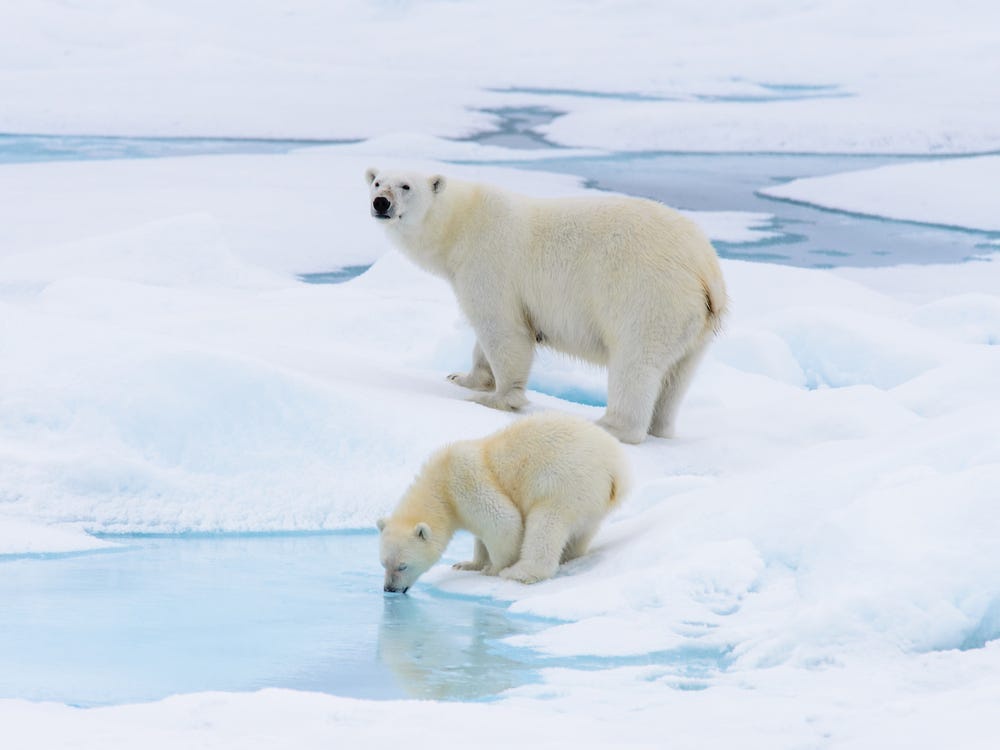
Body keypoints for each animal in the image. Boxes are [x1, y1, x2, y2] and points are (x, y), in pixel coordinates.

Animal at [368, 167, 728, 444]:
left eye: (406, 185)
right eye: (376, 181)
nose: (380, 202)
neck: (462, 222)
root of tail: (705, 268)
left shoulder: (489, 262)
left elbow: (503, 329)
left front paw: (495, 398)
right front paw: (462, 377)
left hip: (649, 297)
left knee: (636, 363)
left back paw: (608, 425)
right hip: (693, 324)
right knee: (677, 377)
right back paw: (660, 428)